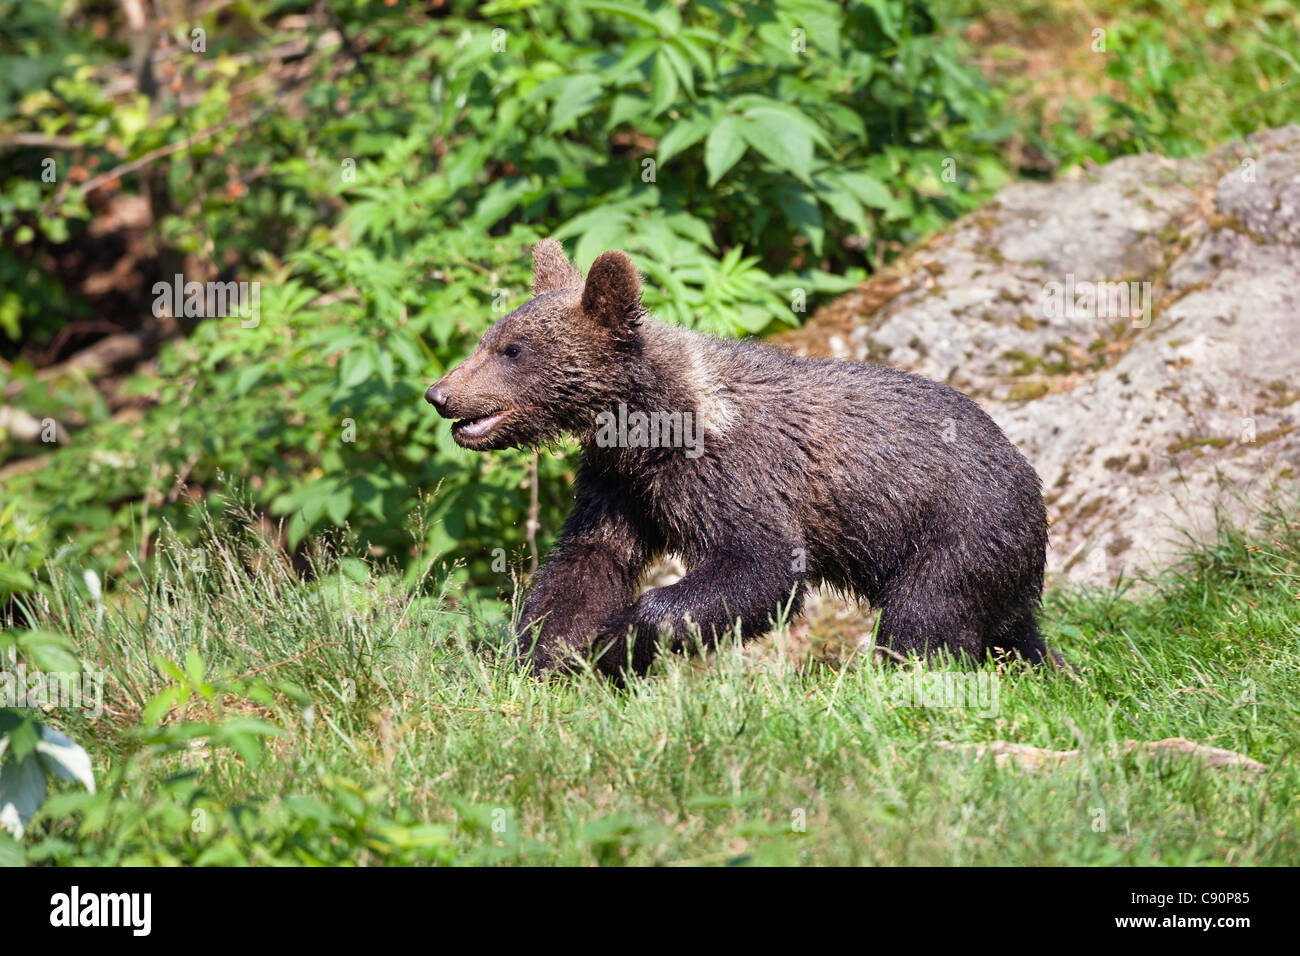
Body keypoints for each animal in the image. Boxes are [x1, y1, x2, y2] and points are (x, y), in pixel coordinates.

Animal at [428, 239, 1055, 681]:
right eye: (489, 337)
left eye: (512, 350)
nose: (440, 393)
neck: (652, 423)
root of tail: (1028, 471)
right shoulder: (620, 482)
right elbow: (589, 559)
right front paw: (541, 658)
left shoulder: (733, 472)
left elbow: (761, 565)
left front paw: (617, 642)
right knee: (1015, 634)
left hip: (957, 529)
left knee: (926, 618)